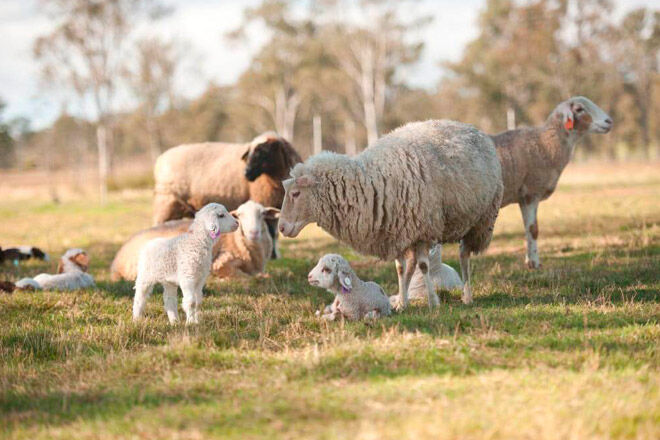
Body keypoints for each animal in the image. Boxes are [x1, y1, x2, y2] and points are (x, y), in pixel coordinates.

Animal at [278, 117, 500, 310]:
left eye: (296, 193)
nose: (281, 227)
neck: (369, 182)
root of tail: (469, 127)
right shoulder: (397, 231)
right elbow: (401, 269)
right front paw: (402, 303)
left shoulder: (423, 230)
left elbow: (424, 266)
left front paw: (432, 302)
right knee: (414, 264)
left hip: (479, 221)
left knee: (464, 255)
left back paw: (467, 296)